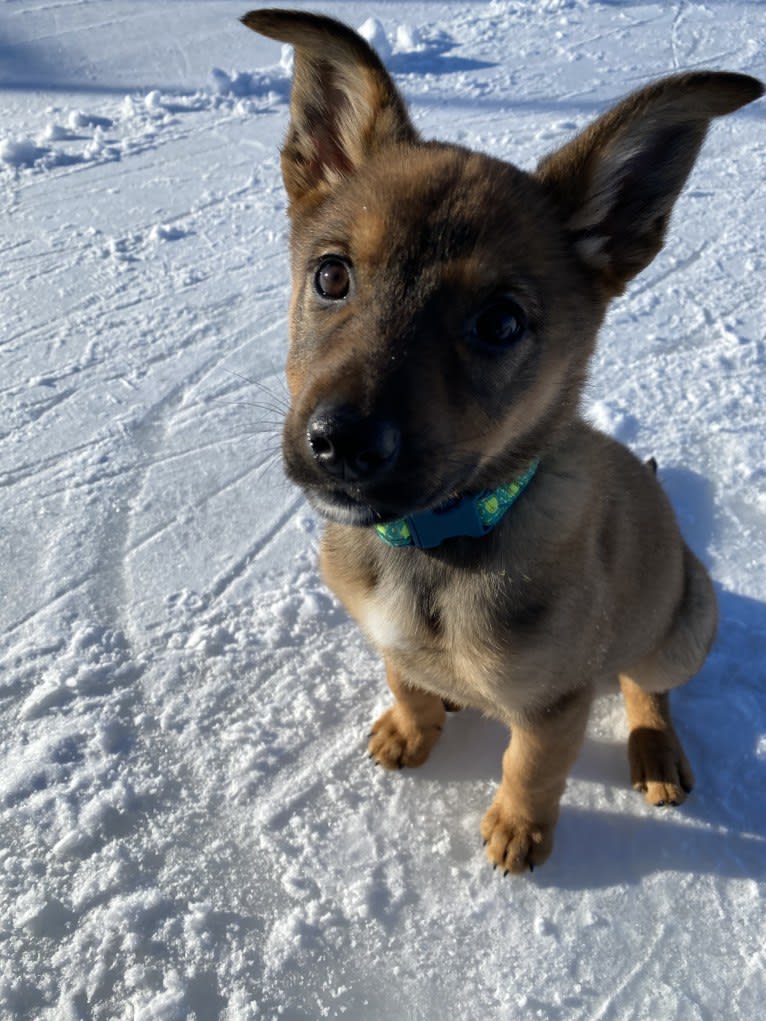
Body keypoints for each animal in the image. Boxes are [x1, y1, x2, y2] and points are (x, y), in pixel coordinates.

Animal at [243, 5, 763, 869]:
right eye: (331, 276)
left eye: (500, 323)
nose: (340, 443)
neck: (431, 548)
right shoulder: (390, 641)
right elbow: (405, 679)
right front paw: (413, 724)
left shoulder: (554, 702)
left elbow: (531, 764)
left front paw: (519, 829)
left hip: (681, 625)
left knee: (649, 684)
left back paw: (654, 747)